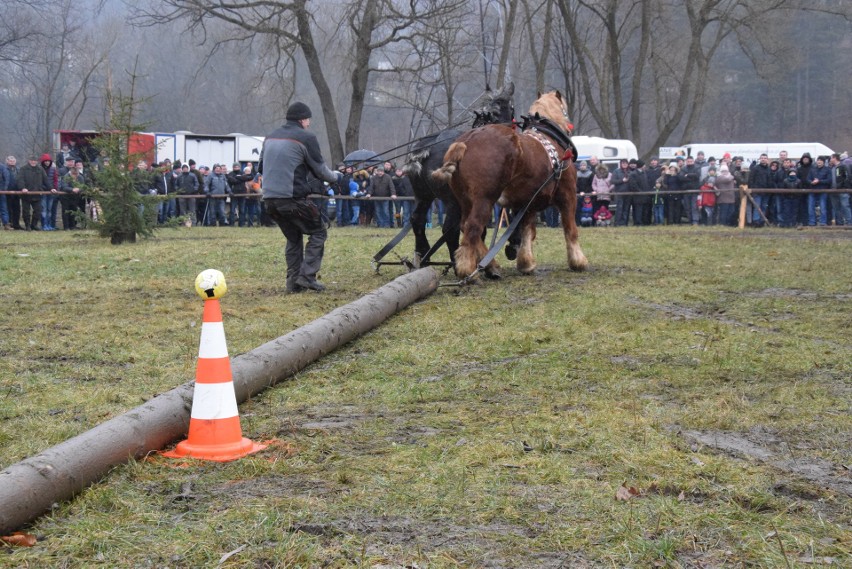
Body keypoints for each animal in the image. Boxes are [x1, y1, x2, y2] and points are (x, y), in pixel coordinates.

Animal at [402, 82, 516, 266]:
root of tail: (429, 145)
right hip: (452, 201)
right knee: (449, 229)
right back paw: (456, 263)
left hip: (423, 196)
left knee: (417, 219)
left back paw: (423, 254)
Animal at [432, 89, 584, 282]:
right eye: (564, 110)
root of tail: (466, 142)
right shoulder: (568, 195)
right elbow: (570, 229)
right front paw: (578, 261)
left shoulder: (528, 203)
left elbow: (527, 231)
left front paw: (526, 263)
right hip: (485, 200)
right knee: (473, 227)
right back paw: (468, 270)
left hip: (465, 200)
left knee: (466, 226)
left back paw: (490, 266)